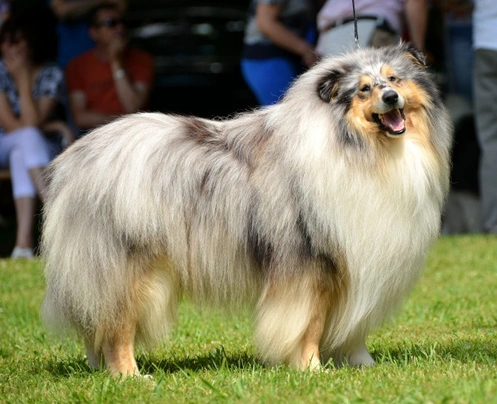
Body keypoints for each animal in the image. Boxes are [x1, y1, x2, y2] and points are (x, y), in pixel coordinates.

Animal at [42, 42, 452, 378]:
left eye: (394, 78)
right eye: (364, 89)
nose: (391, 97)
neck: (365, 151)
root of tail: (75, 159)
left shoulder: (352, 259)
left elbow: (350, 324)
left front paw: (361, 362)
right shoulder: (309, 263)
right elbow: (310, 324)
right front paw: (311, 369)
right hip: (127, 268)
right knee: (117, 326)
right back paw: (130, 376)